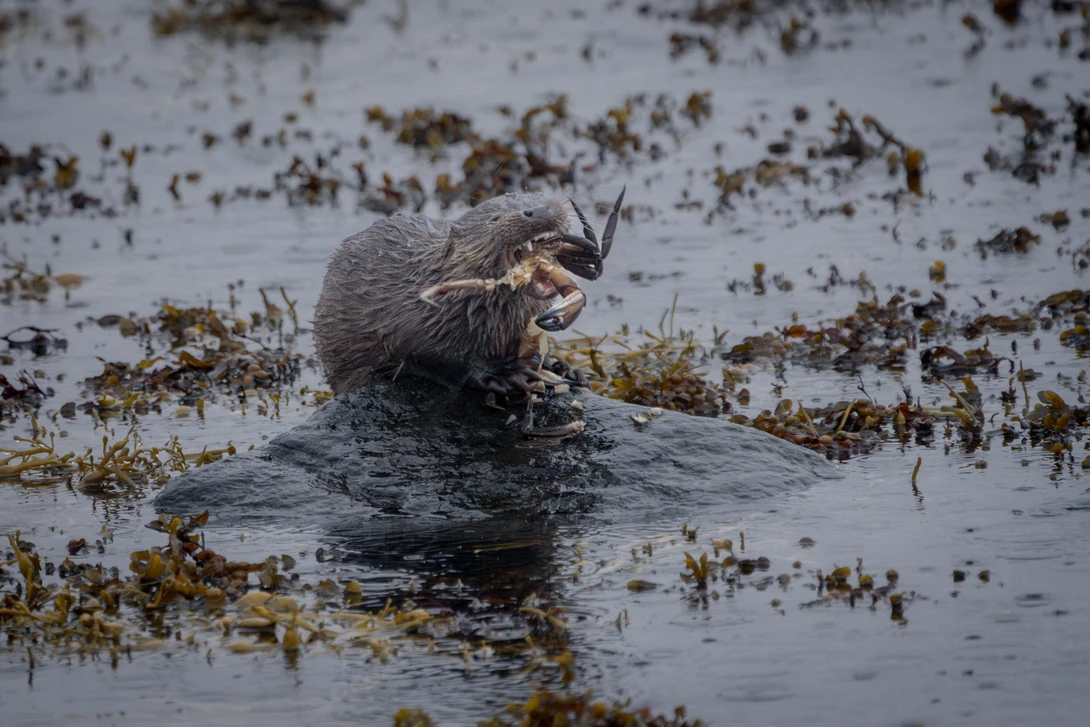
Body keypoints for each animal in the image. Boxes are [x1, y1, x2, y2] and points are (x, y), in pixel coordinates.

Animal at [313, 189, 624, 396]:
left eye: (539, 198)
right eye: (495, 218)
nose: (539, 210)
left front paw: (562, 367)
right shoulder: (406, 321)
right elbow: (432, 357)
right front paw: (501, 375)